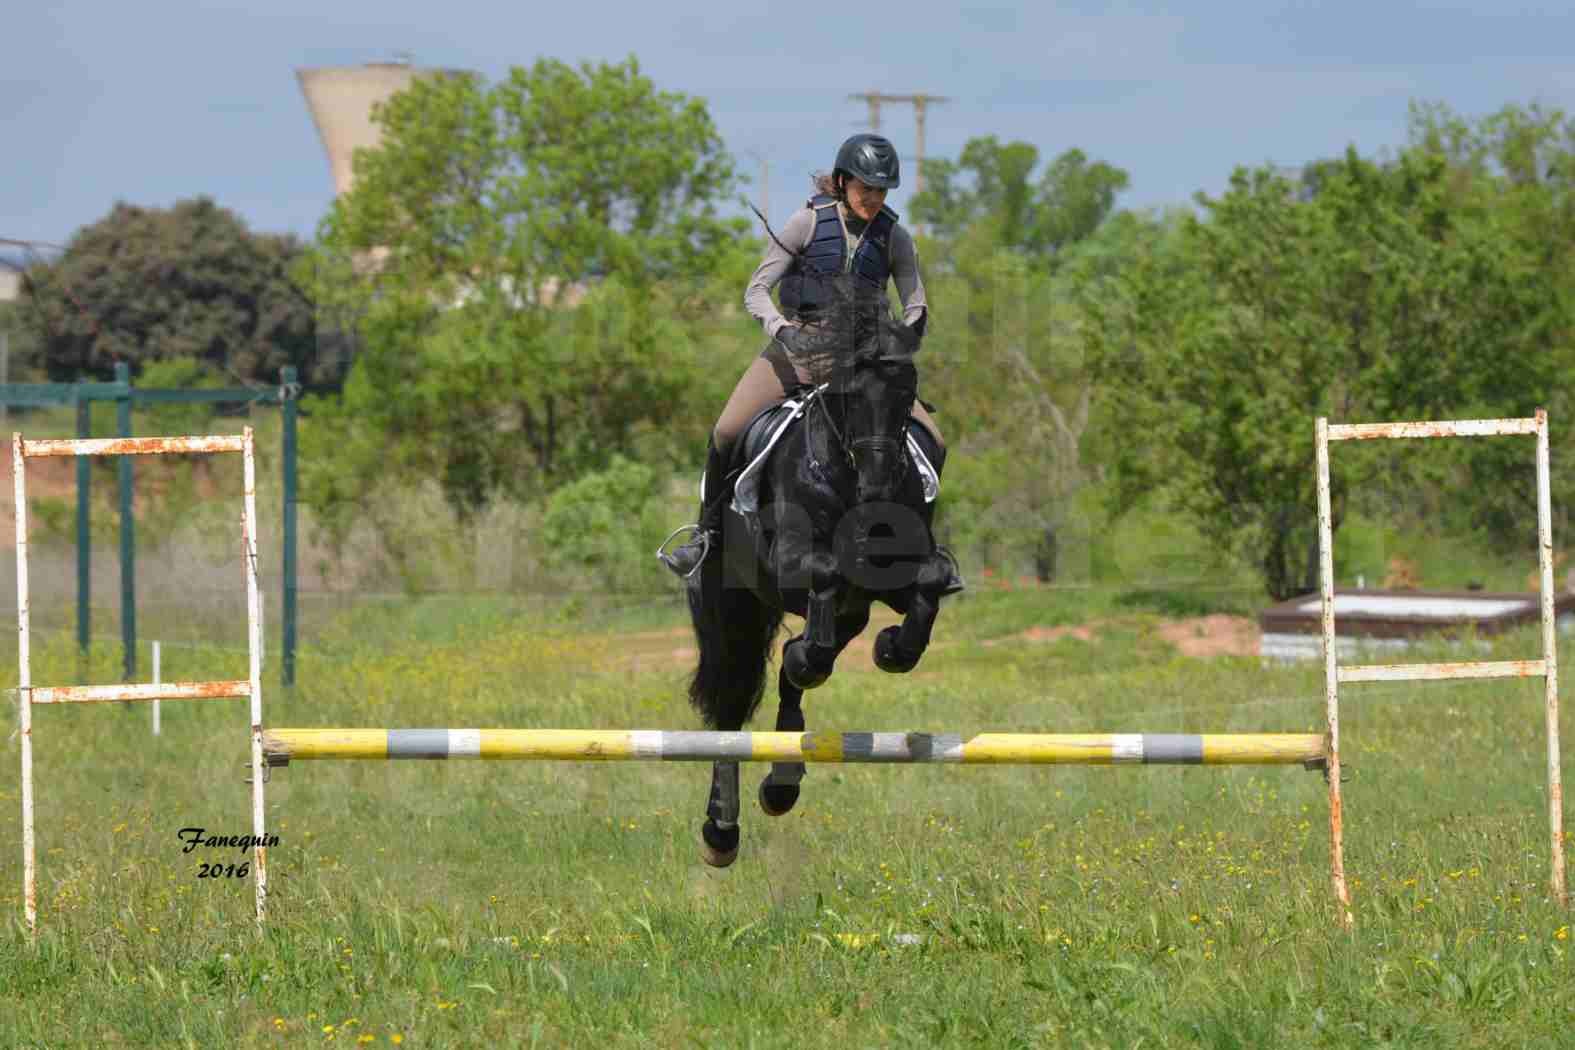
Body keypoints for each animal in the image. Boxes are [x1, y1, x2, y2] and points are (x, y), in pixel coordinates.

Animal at [686, 294, 963, 862]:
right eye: (847, 392)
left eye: (908, 389)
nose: (877, 486)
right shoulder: (789, 565)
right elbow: (826, 571)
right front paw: (818, 653)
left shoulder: (892, 578)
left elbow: (930, 578)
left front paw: (893, 648)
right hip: (733, 611)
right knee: (730, 707)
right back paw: (721, 832)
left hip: (848, 613)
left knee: (799, 676)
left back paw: (782, 784)